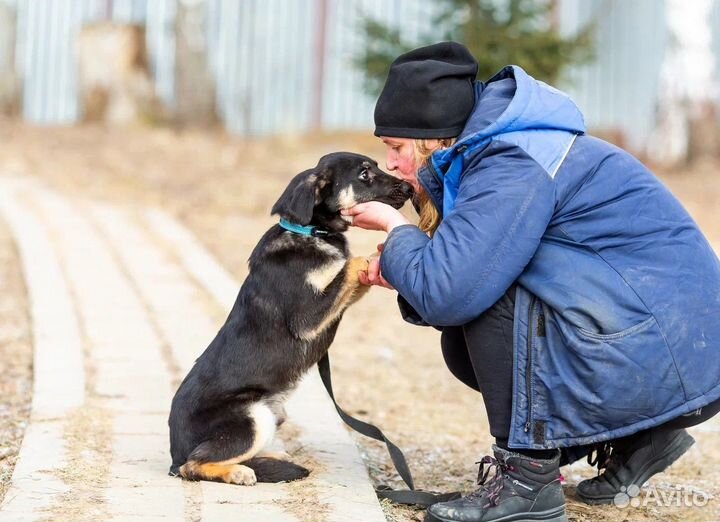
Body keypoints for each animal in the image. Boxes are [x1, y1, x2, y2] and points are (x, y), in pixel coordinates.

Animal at [167, 150, 410, 484]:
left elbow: (350, 274)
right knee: (194, 464)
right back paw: (237, 472)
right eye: (364, 174)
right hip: (252, 417)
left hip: (269, 415)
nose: (410, 188)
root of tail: (174, 455)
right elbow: (349, 265)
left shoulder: (340, 300)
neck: (309, 231)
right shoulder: (307, 317)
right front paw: (370, 256)